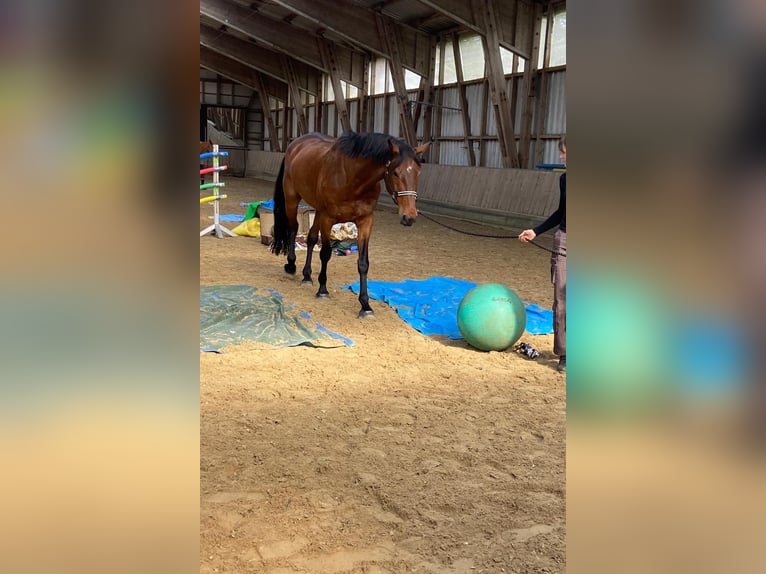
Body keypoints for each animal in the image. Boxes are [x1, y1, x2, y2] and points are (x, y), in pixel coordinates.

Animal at [272, 132, 432, 320]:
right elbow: (325, 254)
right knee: (293, 228)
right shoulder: (328, 218)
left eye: (418, 173)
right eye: (395, 173)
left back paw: (307, 276)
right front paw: (323, 290)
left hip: (317, 210)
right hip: (292, 199)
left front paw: (365, 305)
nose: (410, 216)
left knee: (311, 237)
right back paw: (291, 265)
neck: (352, 178)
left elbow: (363, 263)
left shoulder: (365, 221)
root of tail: (296, 144)